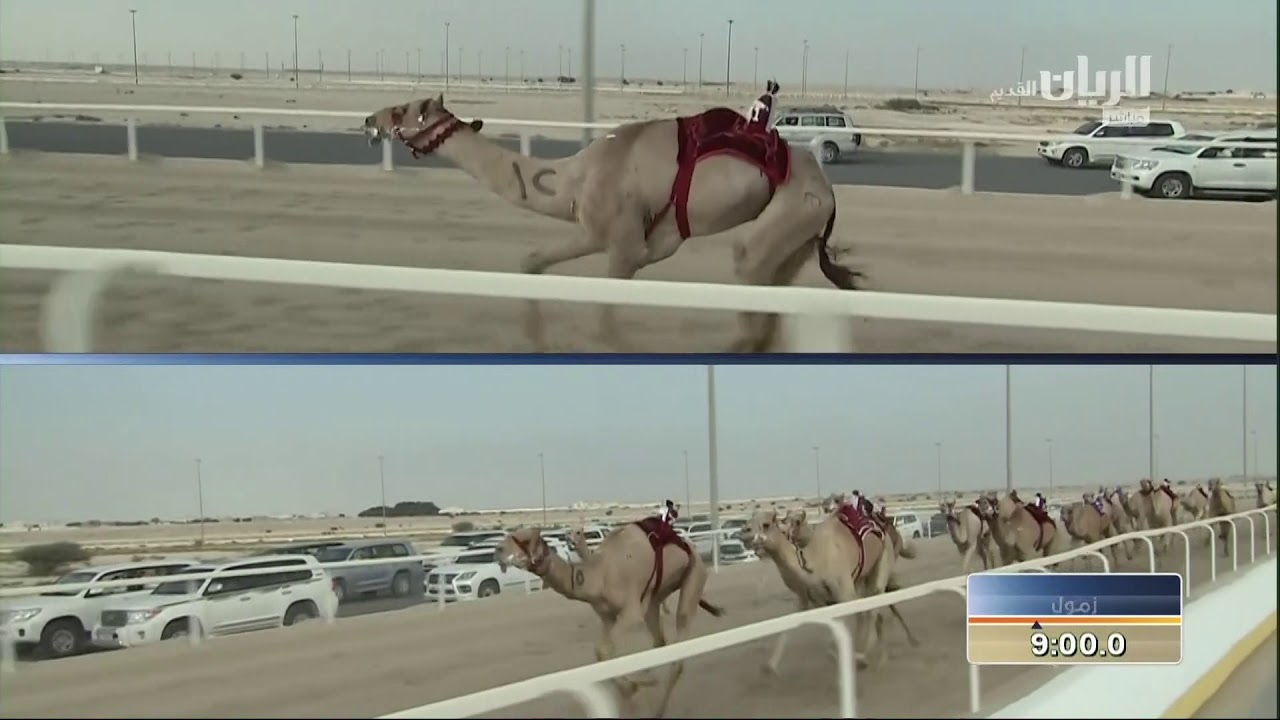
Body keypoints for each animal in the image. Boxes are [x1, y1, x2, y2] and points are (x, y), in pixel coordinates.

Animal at [362, 89, 863, 353]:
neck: (571, 177)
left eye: (404, 110)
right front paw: (536, 341)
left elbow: (605, 327)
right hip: (797, 238)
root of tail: (827, 190)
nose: (369, 118)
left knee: (749, 282)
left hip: (789, 215)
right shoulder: (611, 238)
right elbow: (531, 261)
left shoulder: (620, 245)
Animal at [498, 522, 725, 717]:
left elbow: (605, 651)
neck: (599, 574)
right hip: (656, 595)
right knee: (659, 641)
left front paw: (631, 688)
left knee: (678, 645)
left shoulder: (631, 612)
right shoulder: (607, 616)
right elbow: (602, 652)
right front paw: (632, 688)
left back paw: (657, 706)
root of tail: (691, 548)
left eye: (524, 539)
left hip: (694, 575)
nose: (497, 550)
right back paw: (648, 680)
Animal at [743, 508, 908, 674]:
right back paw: (878, 656)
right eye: (749, 522)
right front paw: (769, 666)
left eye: (766, 524)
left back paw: (866, 656)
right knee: (869, 612)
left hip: (883, 559)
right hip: (862, 579)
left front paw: (850, 656)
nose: (745, 534)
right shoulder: (816, 600)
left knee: (873, 608)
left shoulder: (844, 594)